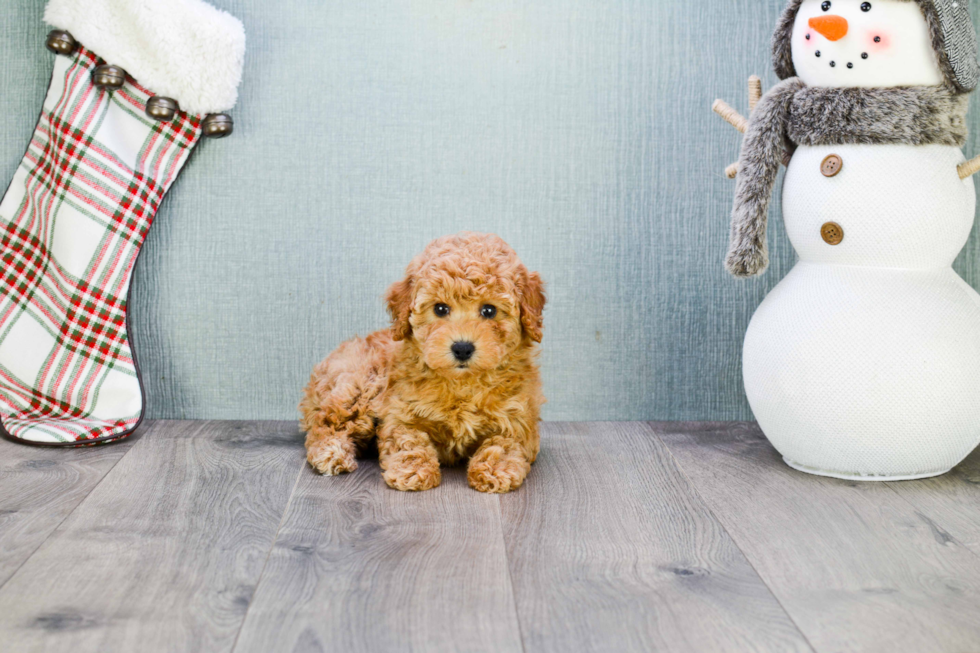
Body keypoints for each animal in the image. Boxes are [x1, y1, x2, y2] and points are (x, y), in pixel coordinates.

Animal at [300, 232, 544, 492]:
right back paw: (331, 453)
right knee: (326, 422)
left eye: (489, 310)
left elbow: (504, 444)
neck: (462, 384)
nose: (462, 348)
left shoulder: (518, 419)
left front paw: (494, 469)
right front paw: (413, 469)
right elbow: (407, 440)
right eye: (440, 309)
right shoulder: (400, 412)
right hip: (361, 385)